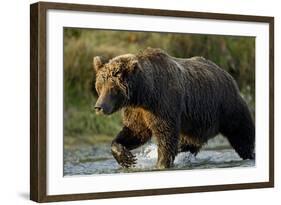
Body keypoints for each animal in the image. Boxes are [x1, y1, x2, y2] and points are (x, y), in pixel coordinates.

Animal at [92, 47, 254, 169]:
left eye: (112, 88)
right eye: (99, 86)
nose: (99, 107)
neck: (144, 93)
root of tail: (227, 74)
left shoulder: (163, 104)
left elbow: (166, 136)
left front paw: (161, 164)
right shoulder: (138, 111)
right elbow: (134, 131)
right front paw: (126, 158)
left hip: (228, 107)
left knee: (242, 136)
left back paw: (250, 155)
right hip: (195, 124)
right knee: (188, 144)